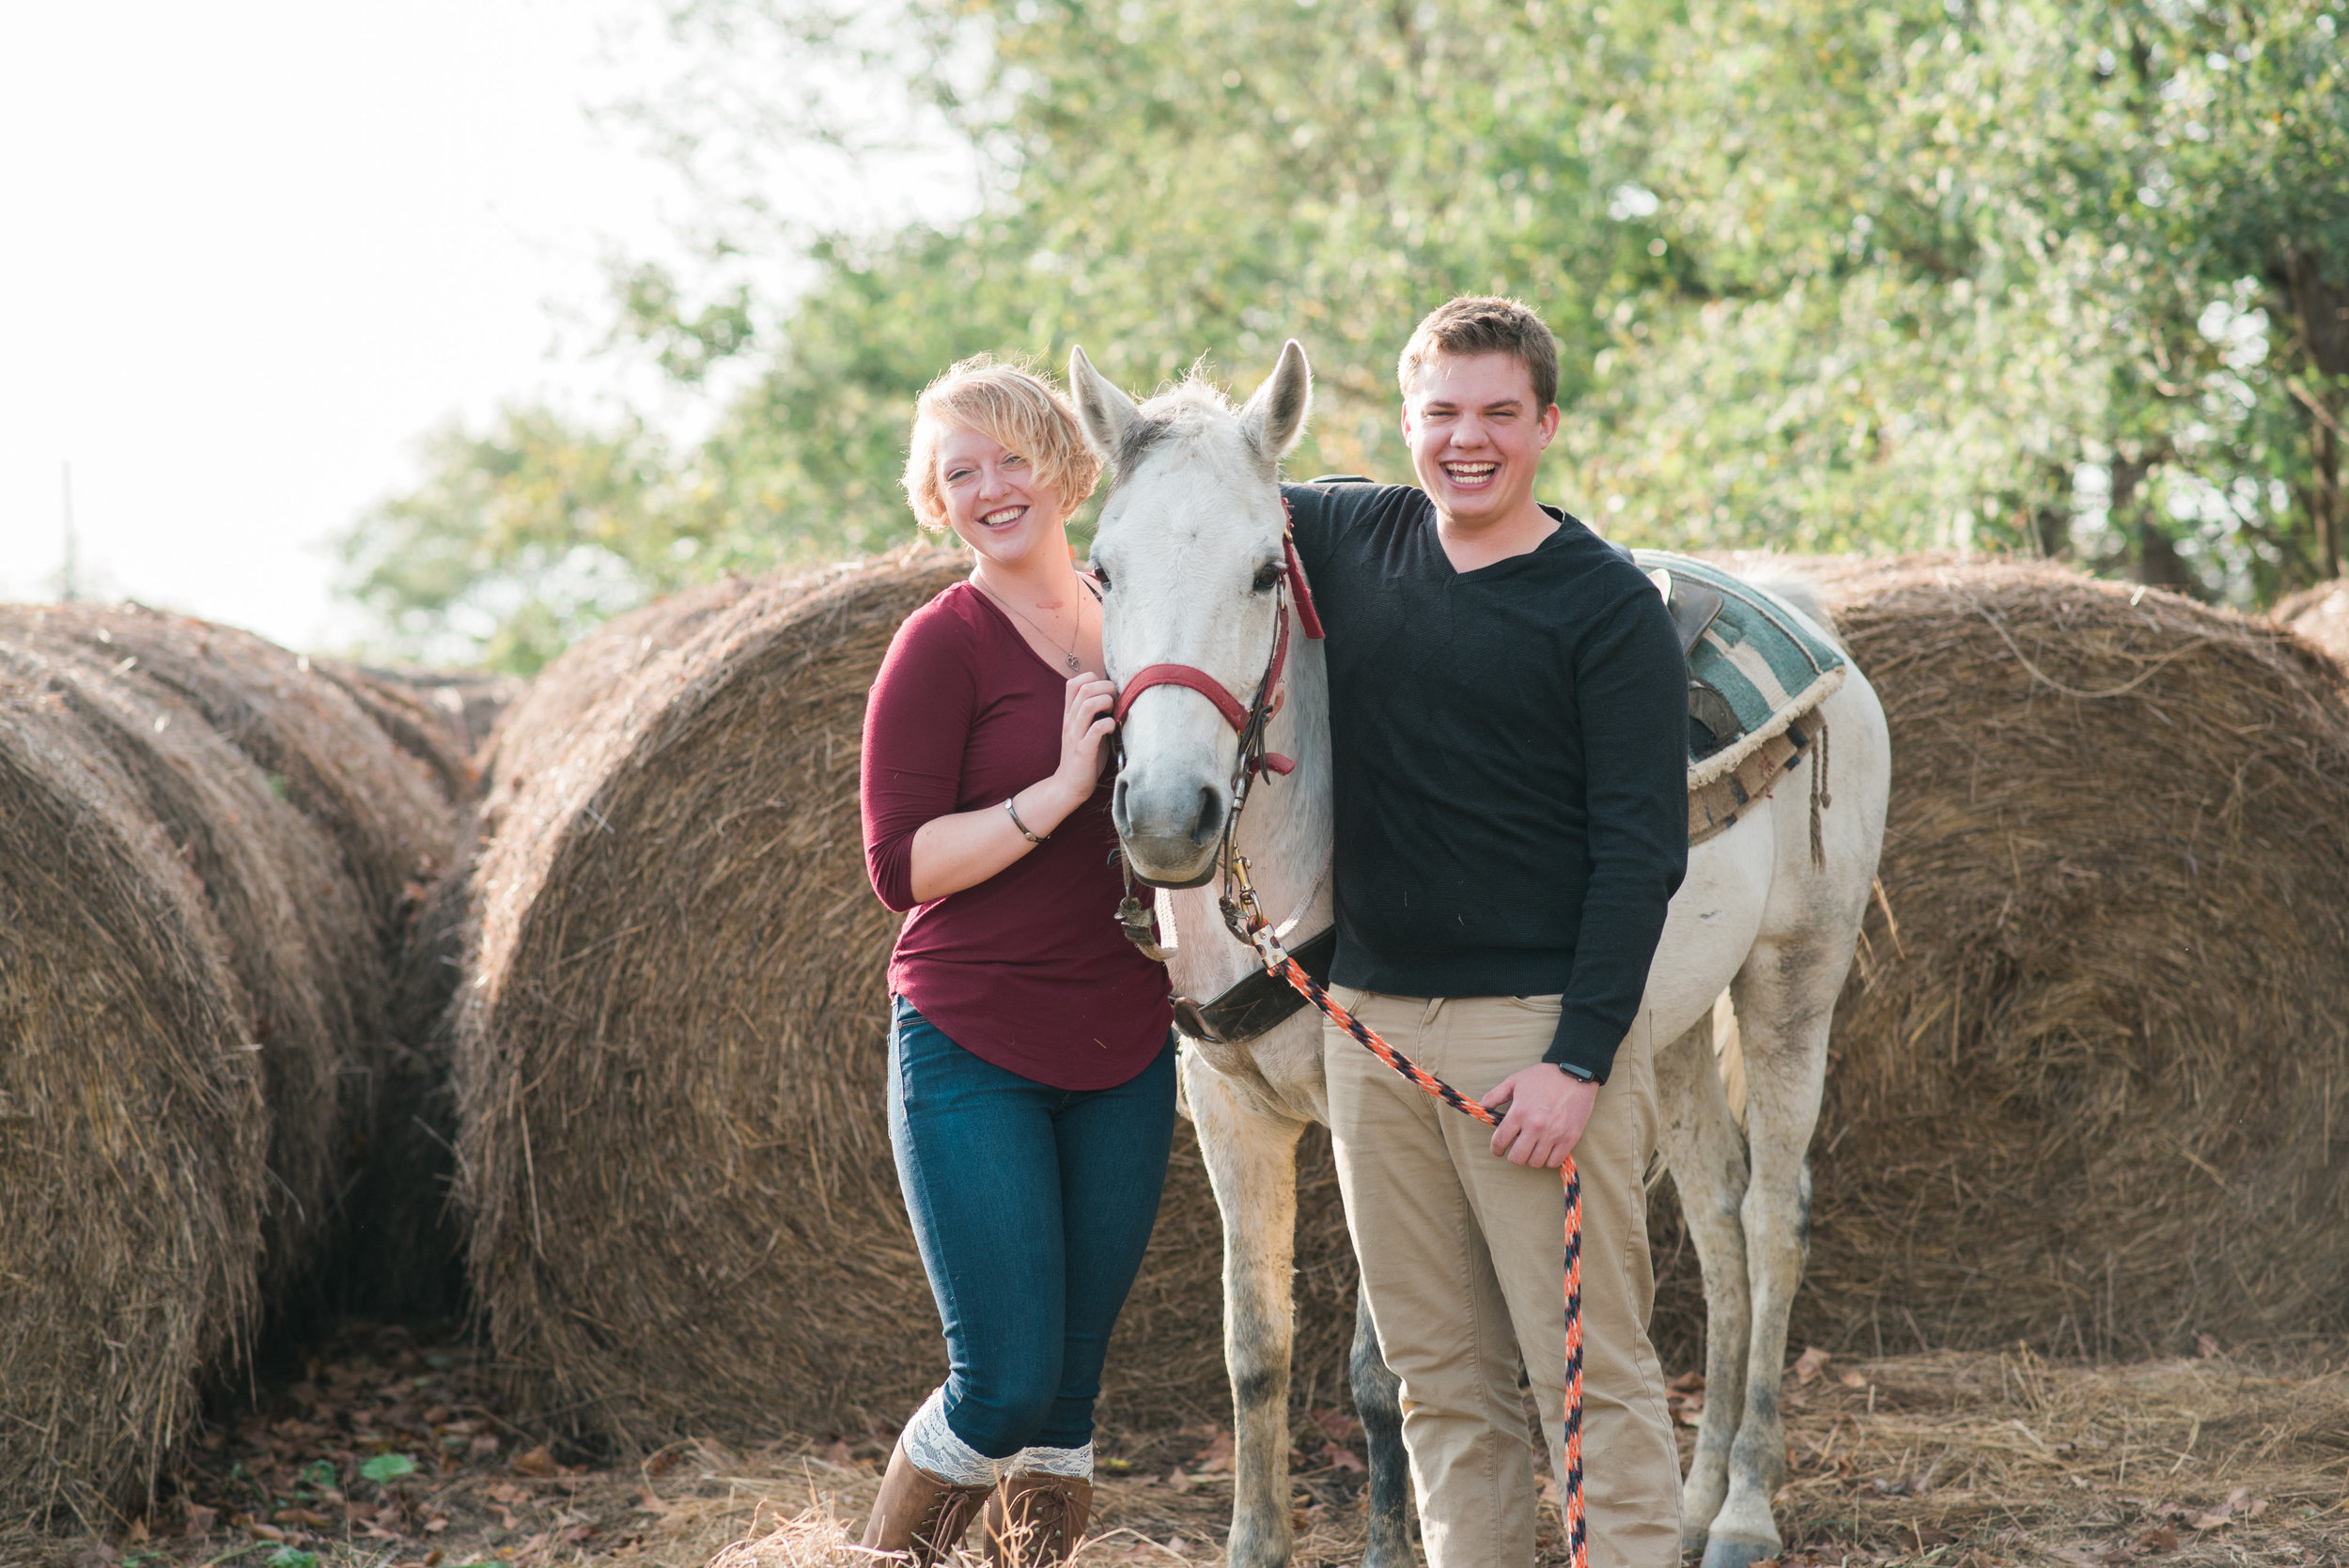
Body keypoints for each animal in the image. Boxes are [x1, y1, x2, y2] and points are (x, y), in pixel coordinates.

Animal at [1066, 342, 1889, 1568]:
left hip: (1794, 980)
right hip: (1669, 1033)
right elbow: (1254, 1349)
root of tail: (1801, 609)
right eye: (1102, 573)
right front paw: (1256, 1542)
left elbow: (1378, 1372)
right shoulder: (1229, 1110)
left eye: (1265, 573)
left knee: (1770, 1216)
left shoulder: (1370, 1100)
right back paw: (1693, 1500)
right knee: (1715, 1216)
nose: (1169, 816)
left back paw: (1744, 1506)